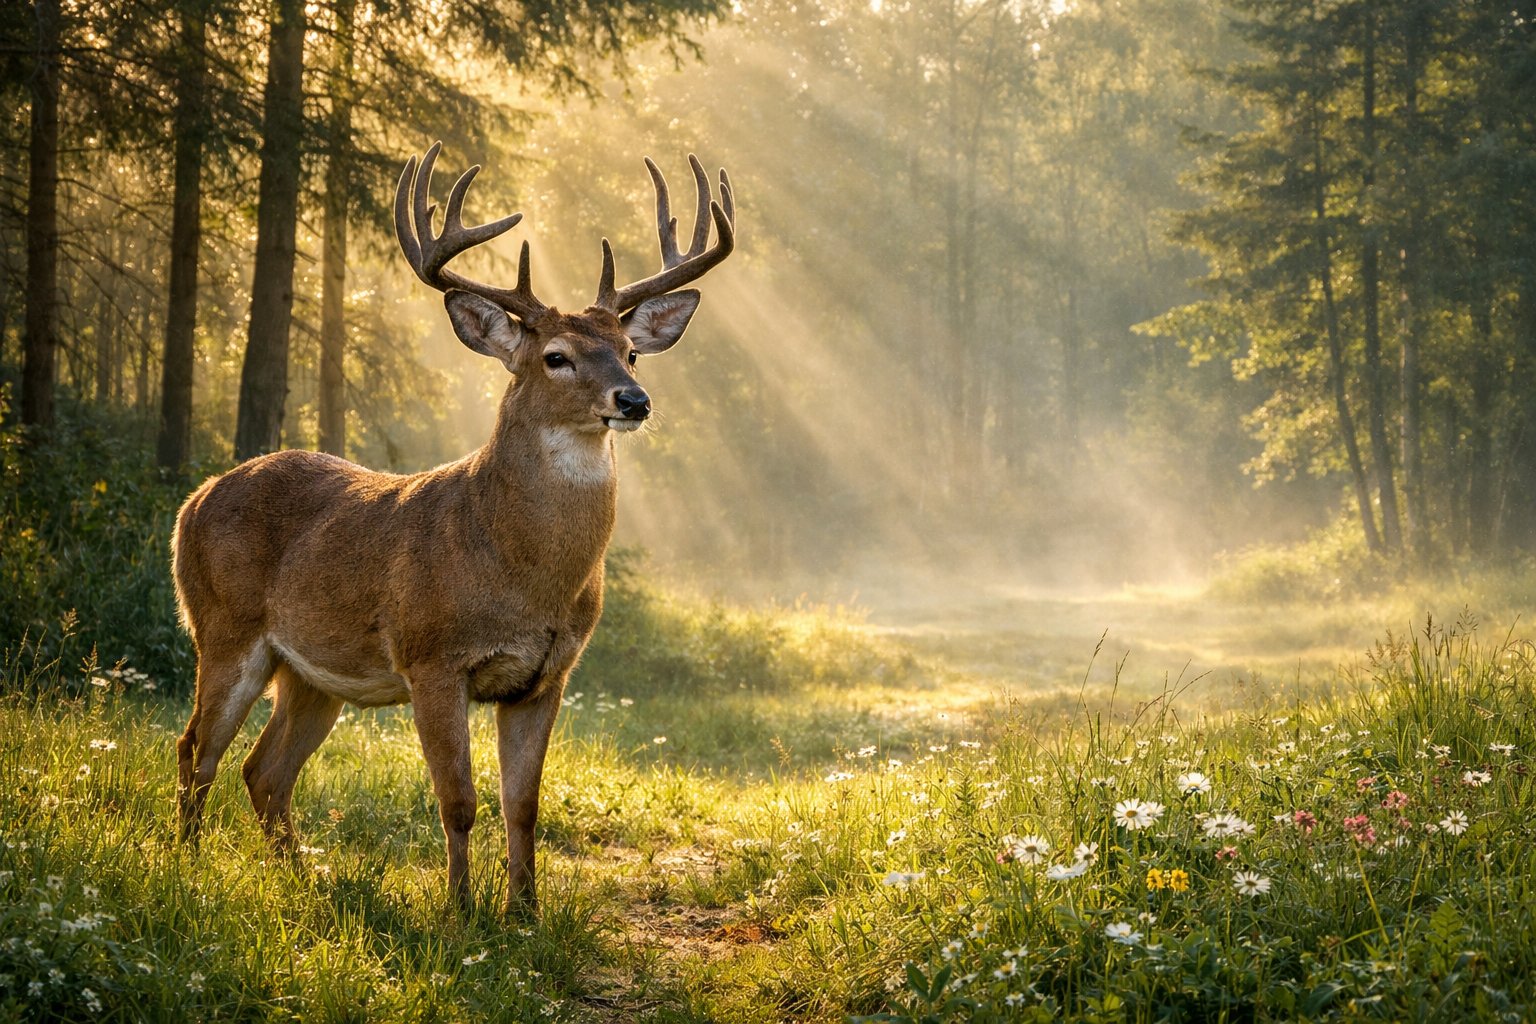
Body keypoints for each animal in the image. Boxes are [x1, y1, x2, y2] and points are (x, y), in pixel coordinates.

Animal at [172, 142, 735, 914]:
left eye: (630, 350)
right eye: (555, 356)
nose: (634, 399)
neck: (518, 569)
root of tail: (192, 501)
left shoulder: (547, 675)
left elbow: (522, 804)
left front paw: (525, 912)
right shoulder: (433, 657)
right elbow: (459, 801)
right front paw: (461, 912)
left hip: (312, 674)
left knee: (263, 770)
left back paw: (300, 877)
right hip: (225, 629)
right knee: (196, 751)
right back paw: (185, 868)